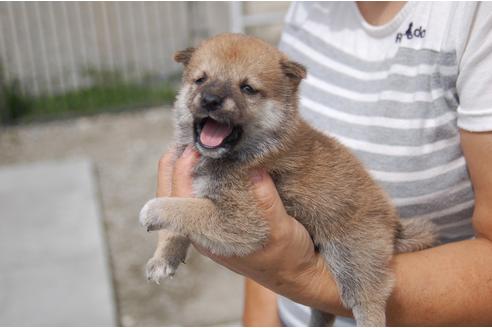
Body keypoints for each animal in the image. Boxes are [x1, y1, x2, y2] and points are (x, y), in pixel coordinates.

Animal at [138, 33, 434, 326]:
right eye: (200, 79)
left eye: (247, 88)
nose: (210, 99)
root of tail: (393, 225)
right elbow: (180, 220)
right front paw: (164, 255)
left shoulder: (242, 219)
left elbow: (188, 209)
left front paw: (154, 209)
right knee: (324, 308)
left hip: (353, 254)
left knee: (368, 299)